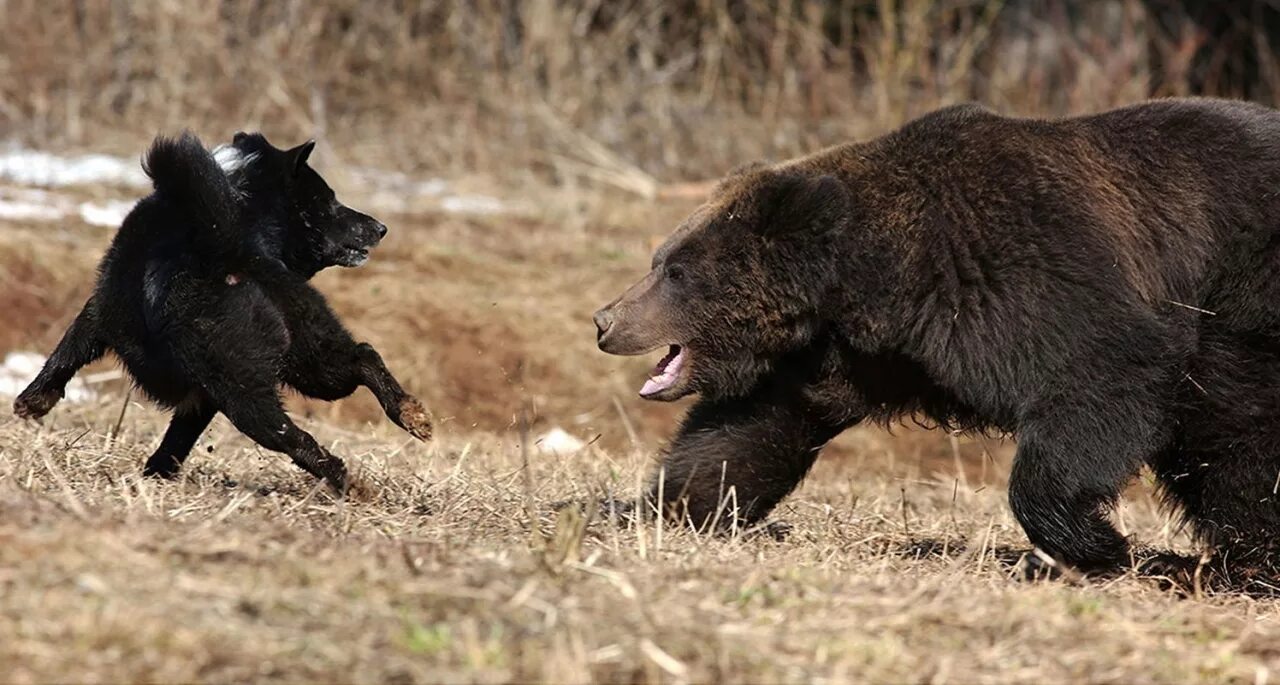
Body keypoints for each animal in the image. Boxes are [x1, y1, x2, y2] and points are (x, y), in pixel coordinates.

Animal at [11, 131, 430, 491]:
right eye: (327, 200)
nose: (380, 227)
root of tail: (224, 245)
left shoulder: (109, 316)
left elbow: (71, 350)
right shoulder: (191, 382)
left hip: (257, 374)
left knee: (311, 413)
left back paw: (364, 468)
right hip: (293, 351)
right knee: (343, 375)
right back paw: (400, 425)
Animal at [591, 97, 1280, 578]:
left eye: (675, 271)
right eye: (661, 259)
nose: (605, 320)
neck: (875, 285)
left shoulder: (1023, 273)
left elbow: (1100, 375)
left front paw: (1094, 543)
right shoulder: (840, 358)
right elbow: (744, 435)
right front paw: (646, 510)